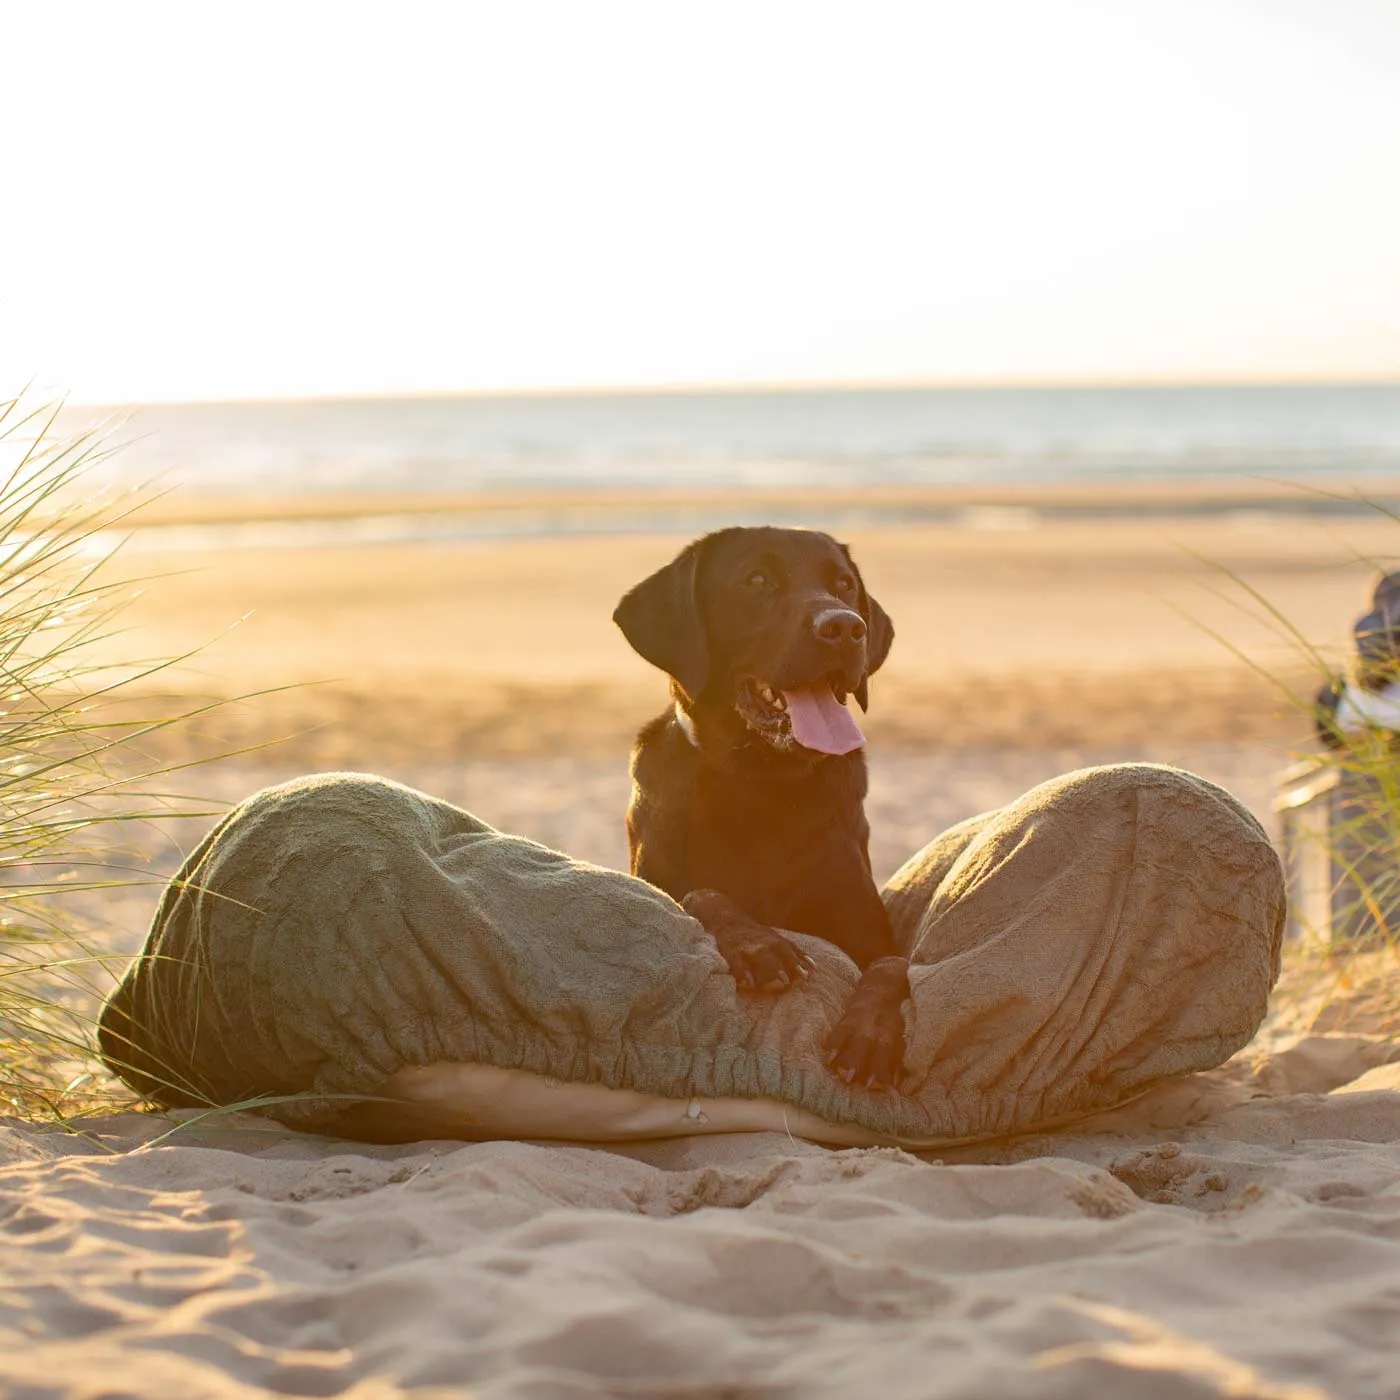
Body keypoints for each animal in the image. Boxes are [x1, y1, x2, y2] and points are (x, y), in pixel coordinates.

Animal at [613, 529, 907, 1086]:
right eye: (757, 580)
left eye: (844, 585)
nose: (845, 627)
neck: (764, 785)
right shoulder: (653, 879)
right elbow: (703, 893)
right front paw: (761, 945)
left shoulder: (870, 925)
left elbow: (891, 971)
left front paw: (873, 1035)